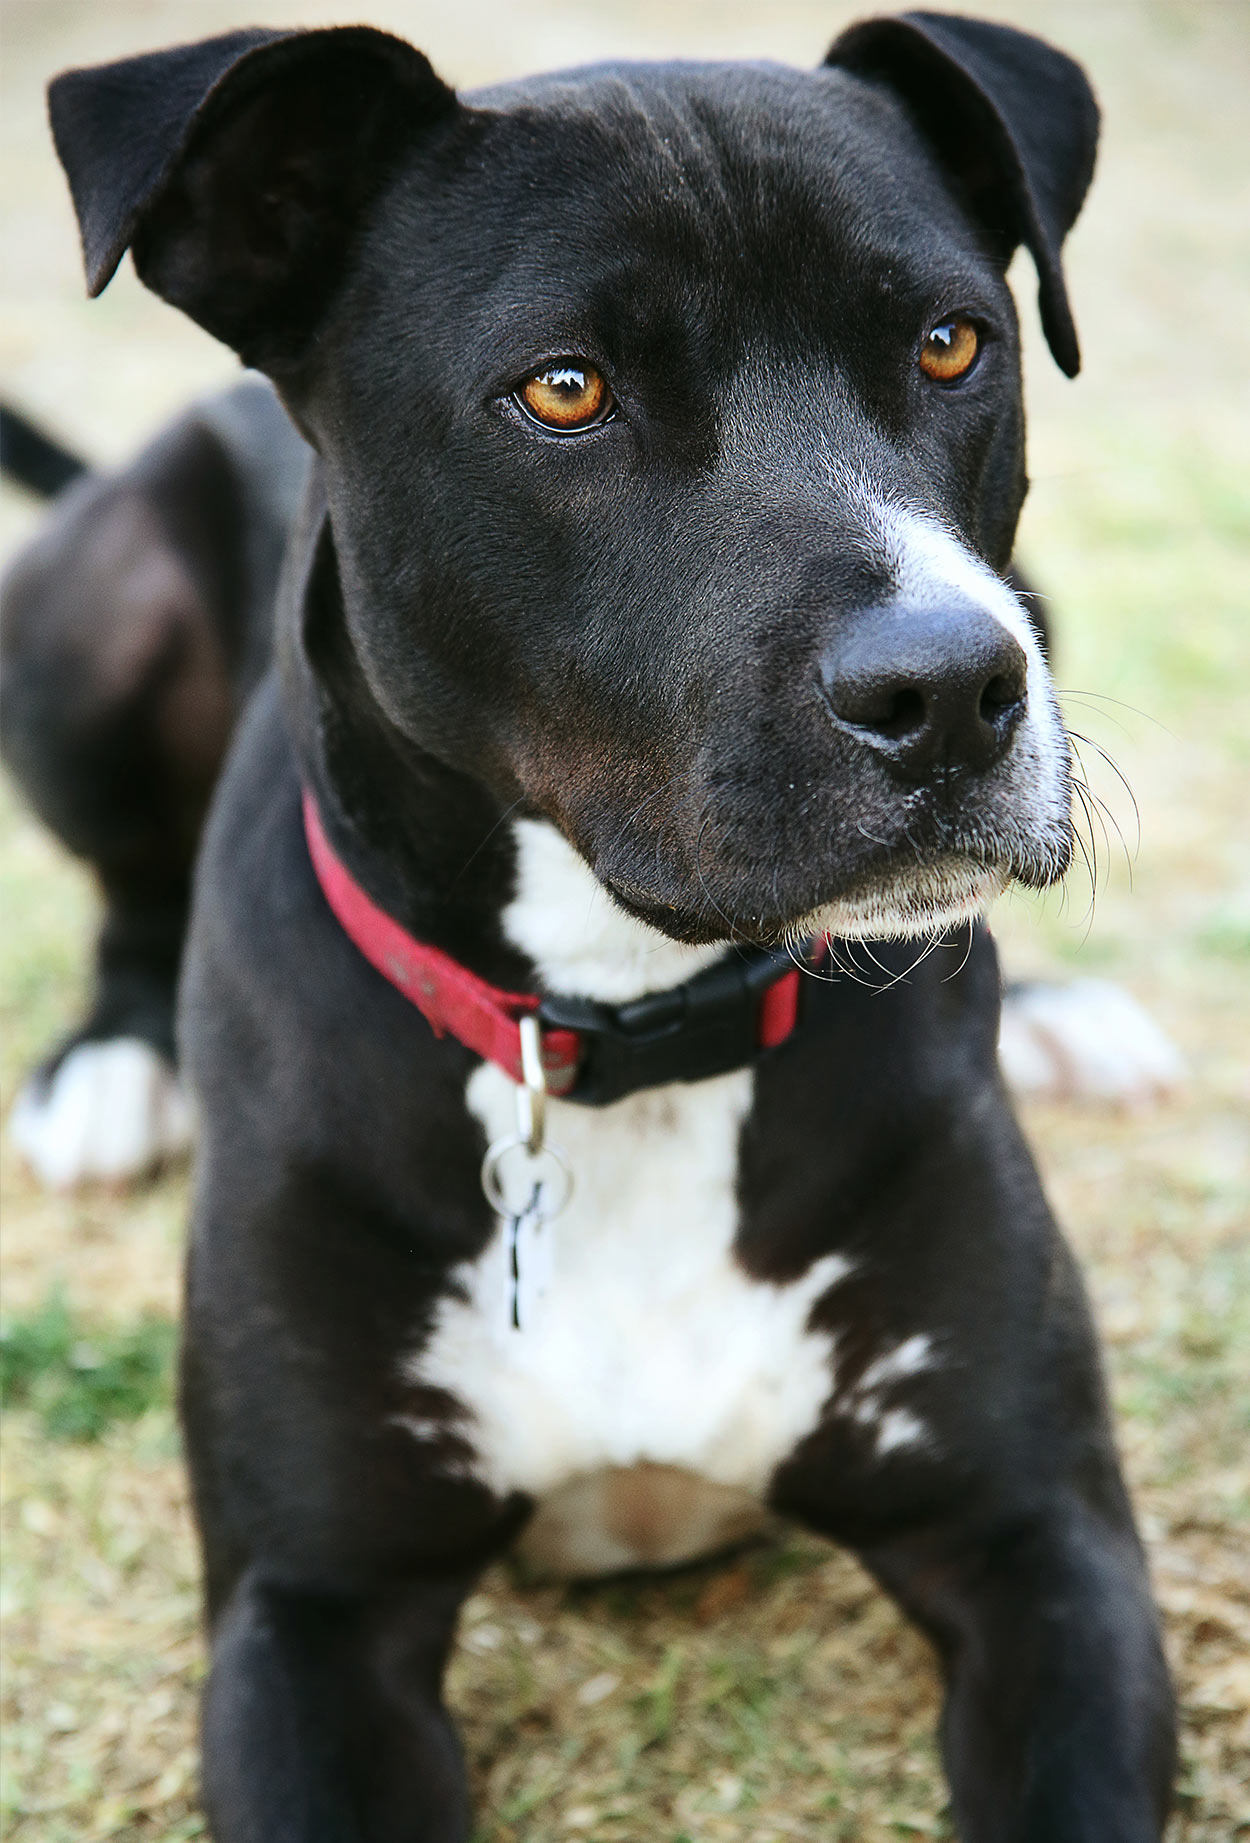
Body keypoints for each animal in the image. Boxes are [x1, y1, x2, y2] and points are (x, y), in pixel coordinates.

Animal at [41, 10, 1172, 1828]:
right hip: (88, 610)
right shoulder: (310, 1612)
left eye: (950, 345)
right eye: (564, 389)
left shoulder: (1037, 1540)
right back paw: (104, 1071)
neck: (631, 1025)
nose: (948, 688)